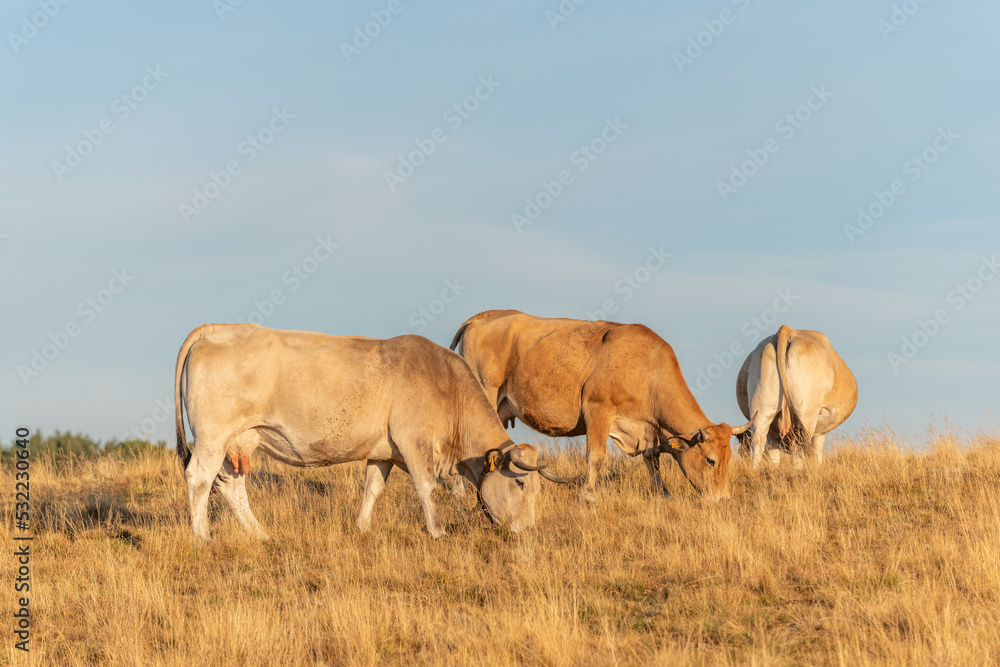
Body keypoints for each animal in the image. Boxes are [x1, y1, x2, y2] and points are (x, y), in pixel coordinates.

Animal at [174, 323, 580, 540]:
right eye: (521, 483)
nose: (528, 531)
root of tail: (216, 329)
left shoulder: (383, 453)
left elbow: (373, 489)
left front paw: (363, 528)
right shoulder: (415, 444)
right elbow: (426, 488)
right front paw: (437, 532)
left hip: (238, 442)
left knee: (230, 485)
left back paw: (260, 535)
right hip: (213, 437)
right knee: (199, 479)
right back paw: (202, 537)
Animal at [449, 310, 754, 503]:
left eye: (729, 460)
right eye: (711, 460)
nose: (722, 499)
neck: (647, 369)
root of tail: (482, 316)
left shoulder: (646, 426)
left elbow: (652, 458)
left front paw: (663, 493)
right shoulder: (598, 411)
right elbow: (595, 456)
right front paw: (588, 495)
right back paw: (458, 493)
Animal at [735, 325, 857, 466]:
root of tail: (787, 330)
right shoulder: (820, 431)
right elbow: (817, 455)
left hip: (762, 408)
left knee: (758, 442)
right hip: (805, 413)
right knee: (798, 448)